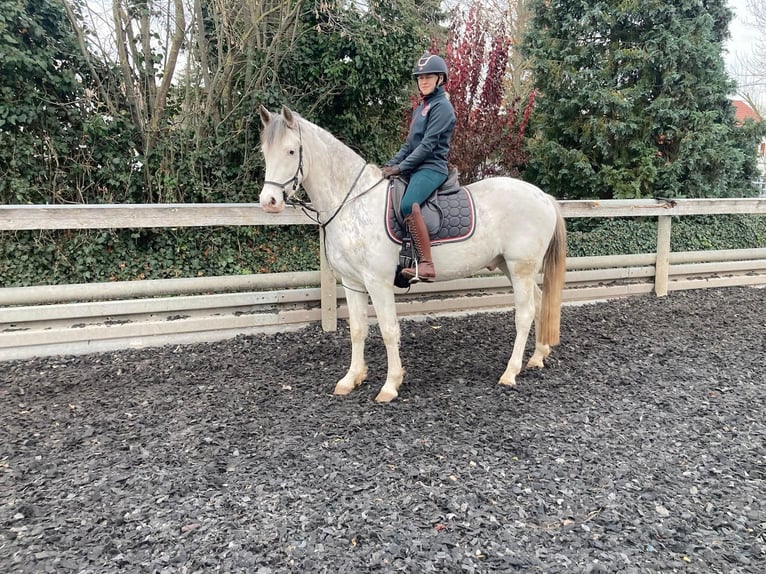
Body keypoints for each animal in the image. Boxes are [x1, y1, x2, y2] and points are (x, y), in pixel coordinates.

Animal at [258, 106, 564, 402]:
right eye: (264, 152)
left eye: (291, 151)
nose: (268, 202)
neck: (353, 202)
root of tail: (544, 197)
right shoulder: (353, 283)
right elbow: (357, 330)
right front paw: (351, 379)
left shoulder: (378, 282)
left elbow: (388, 330)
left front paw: (390, 385)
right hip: (508, 267)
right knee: (539, 303)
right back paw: (537, 357)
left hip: (520, 267)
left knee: (525, 313)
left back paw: (510, 373)